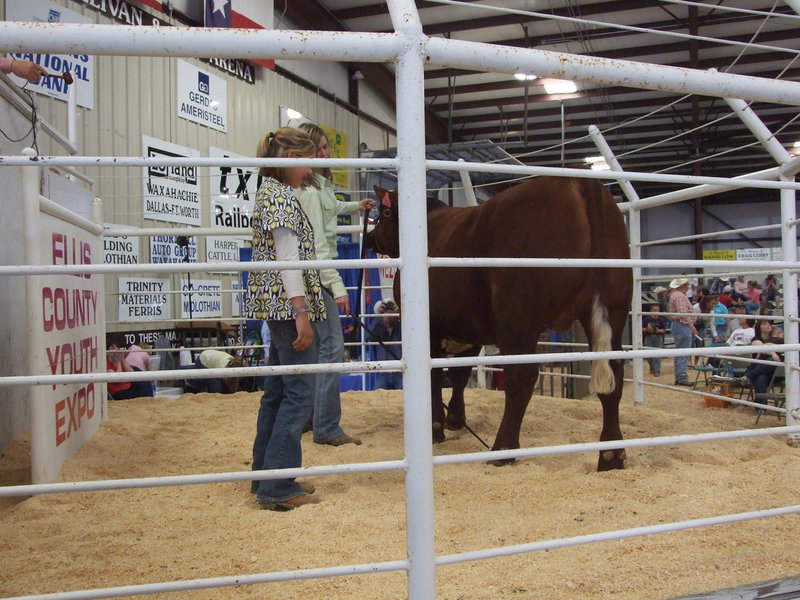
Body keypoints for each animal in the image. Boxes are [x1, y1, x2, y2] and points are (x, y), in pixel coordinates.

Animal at [363, 176, 632, 471]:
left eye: (382, 213)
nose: (367, 238)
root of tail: (577, 179)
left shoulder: (433, 329)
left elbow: (435, 377)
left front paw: (435, 429)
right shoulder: (467, 327)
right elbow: (460, 373)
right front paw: (456, 419)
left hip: (518, 315)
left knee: (521, 376)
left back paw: (502, 449)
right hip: (614, 307)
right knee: (614, 372)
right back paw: (611, 454)